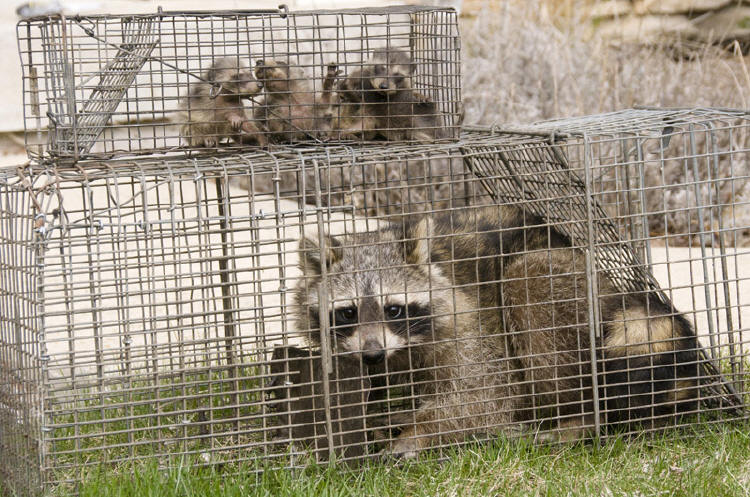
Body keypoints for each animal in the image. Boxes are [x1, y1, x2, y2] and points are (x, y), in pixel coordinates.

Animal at [293, 205, 706, 458]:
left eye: (393, 309)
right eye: (347, 312)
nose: (372, 353)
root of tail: (618, 290)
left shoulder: (471, 325)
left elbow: (485, 396)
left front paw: (416, 432)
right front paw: (383, 417)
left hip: (571, 289)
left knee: (527, 283)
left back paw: (577, 420)